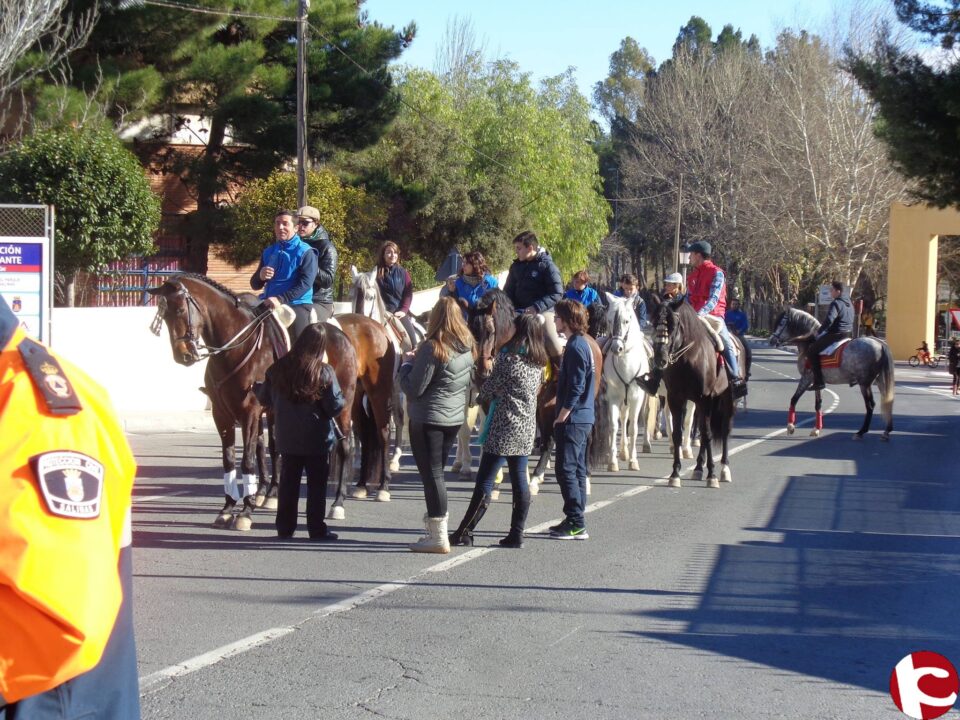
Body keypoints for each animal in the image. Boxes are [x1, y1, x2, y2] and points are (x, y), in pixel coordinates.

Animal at [149, 272, 368, 524]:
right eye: (164, 317)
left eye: (179, 310)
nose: (183, 355)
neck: (235, 347)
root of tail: (342, 335)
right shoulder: (221, 414)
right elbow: (230, 459)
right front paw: (228, 507)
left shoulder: (250, 412)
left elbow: (248, 460)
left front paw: (245, 511)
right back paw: (273, 494)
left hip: (343, 405)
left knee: (345, 447)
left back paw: (337, 503)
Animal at [604, 292, 656, 472]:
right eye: (609, 320)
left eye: (627, 321)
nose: (616, 348)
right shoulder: (613, 397)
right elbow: (614, 426)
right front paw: (612, 462)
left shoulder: (636, 398)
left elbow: (633, 428)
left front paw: (633, 461)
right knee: (623, 417)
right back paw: (623, 452)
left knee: (641, 417)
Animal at [652, 294, 736, 490]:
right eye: (654, 322)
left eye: (673, 325)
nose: (660, 358)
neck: (688, 357)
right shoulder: (676, 398)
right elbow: (677, 433)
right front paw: (675, 474)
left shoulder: (703, 398)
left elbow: (707, 434)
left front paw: (712, 475)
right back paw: (698, 468)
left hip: (726, 398)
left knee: (723, 429)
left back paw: (724, 469)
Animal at [768, 306, 896, 438]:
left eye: (781, 323)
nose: (771, 340)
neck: (809, 343)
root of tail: (880, 344)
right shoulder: (817, 381)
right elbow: (818, 404)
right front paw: (816, 429)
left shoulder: (807, 378)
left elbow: (794, 399)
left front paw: (790, 426)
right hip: (879, 380)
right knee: (887, 401)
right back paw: (887, 431)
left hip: (864, 383)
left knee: (870, 405)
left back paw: (861, 432)